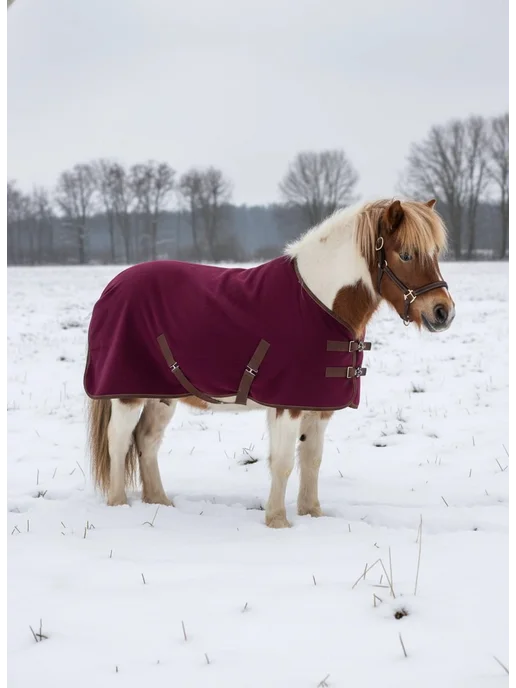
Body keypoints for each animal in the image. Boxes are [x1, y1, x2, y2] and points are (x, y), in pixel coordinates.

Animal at [84, 198, 455, 528]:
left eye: (435, 253)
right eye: (405, 254)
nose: (443, 312)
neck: (319, 302)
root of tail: (113, 286)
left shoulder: (318, 406)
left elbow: (312, 460)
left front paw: (312, 514)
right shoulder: (287, 405)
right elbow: (283, 462)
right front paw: (277, 521)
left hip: (162, 395)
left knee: (147, 441)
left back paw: (159, 502)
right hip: (128, 394)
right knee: (118, 441)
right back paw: (119, 505)